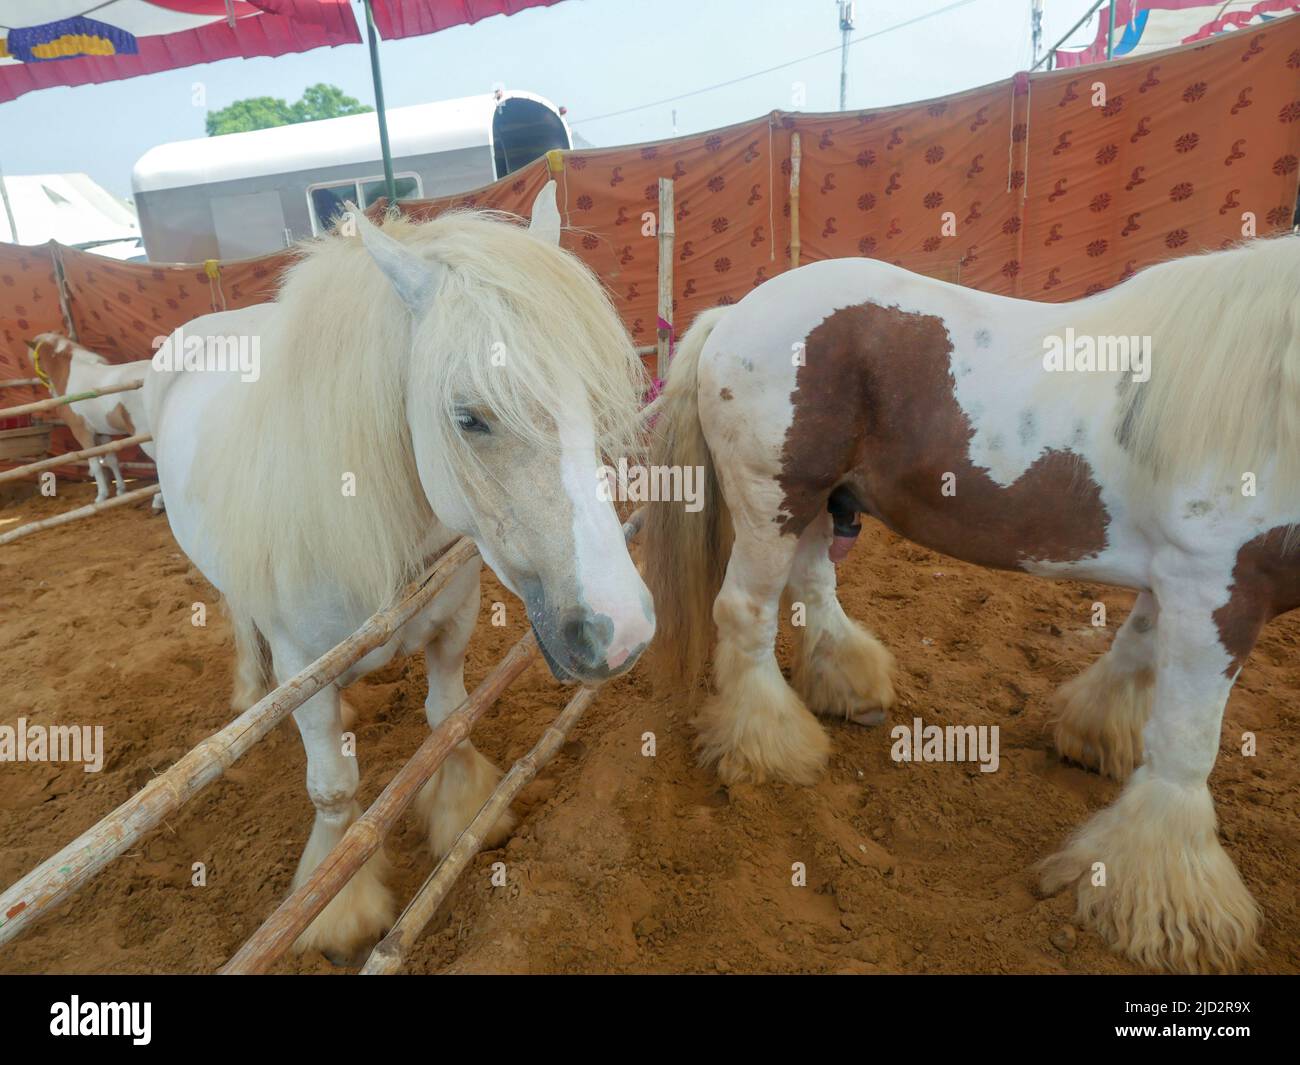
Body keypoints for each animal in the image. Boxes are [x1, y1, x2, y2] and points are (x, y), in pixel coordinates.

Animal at [146, 185, 655, 967]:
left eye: (591, 400)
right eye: (469, 418)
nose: (621, 630)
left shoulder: (455, 615)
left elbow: (448, 719)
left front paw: (465, 812)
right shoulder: (304, 663)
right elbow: (332, 790)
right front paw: (340, 910)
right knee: (239, 616)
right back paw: (251, 690)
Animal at [642, 235, 1300, 972]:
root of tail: (733, 314)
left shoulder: (1175, 581)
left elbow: (1134, 656)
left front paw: (1095, 737)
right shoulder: (1215, 585)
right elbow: (1186, 746)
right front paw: (1171, 911)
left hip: (817, 503)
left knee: (812, 589)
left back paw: (848, 688)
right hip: (774, 501)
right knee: (746, 614)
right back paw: (771, 747)